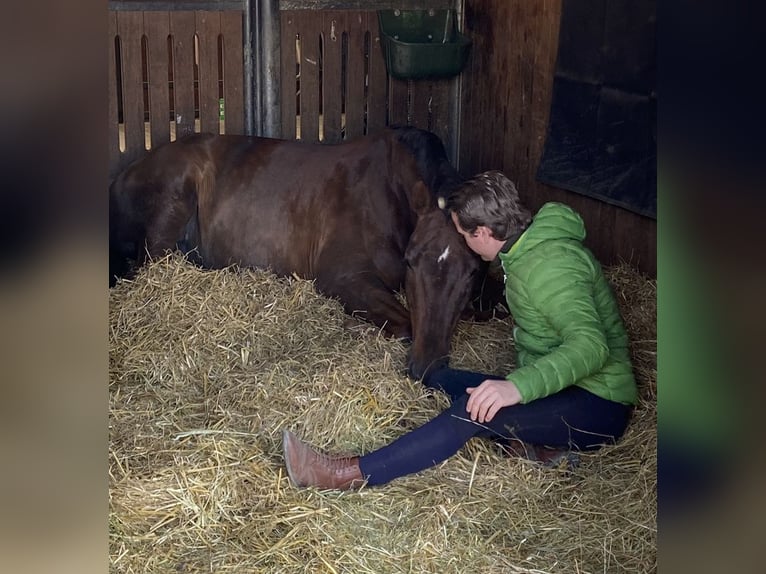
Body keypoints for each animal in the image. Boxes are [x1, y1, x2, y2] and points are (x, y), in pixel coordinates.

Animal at [109, 128, 480, 384]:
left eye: (471, 275)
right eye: (412, 261)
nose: (425, 367)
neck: (387, 196)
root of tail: (125, 173)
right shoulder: (342, 277)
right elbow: (404, 325)